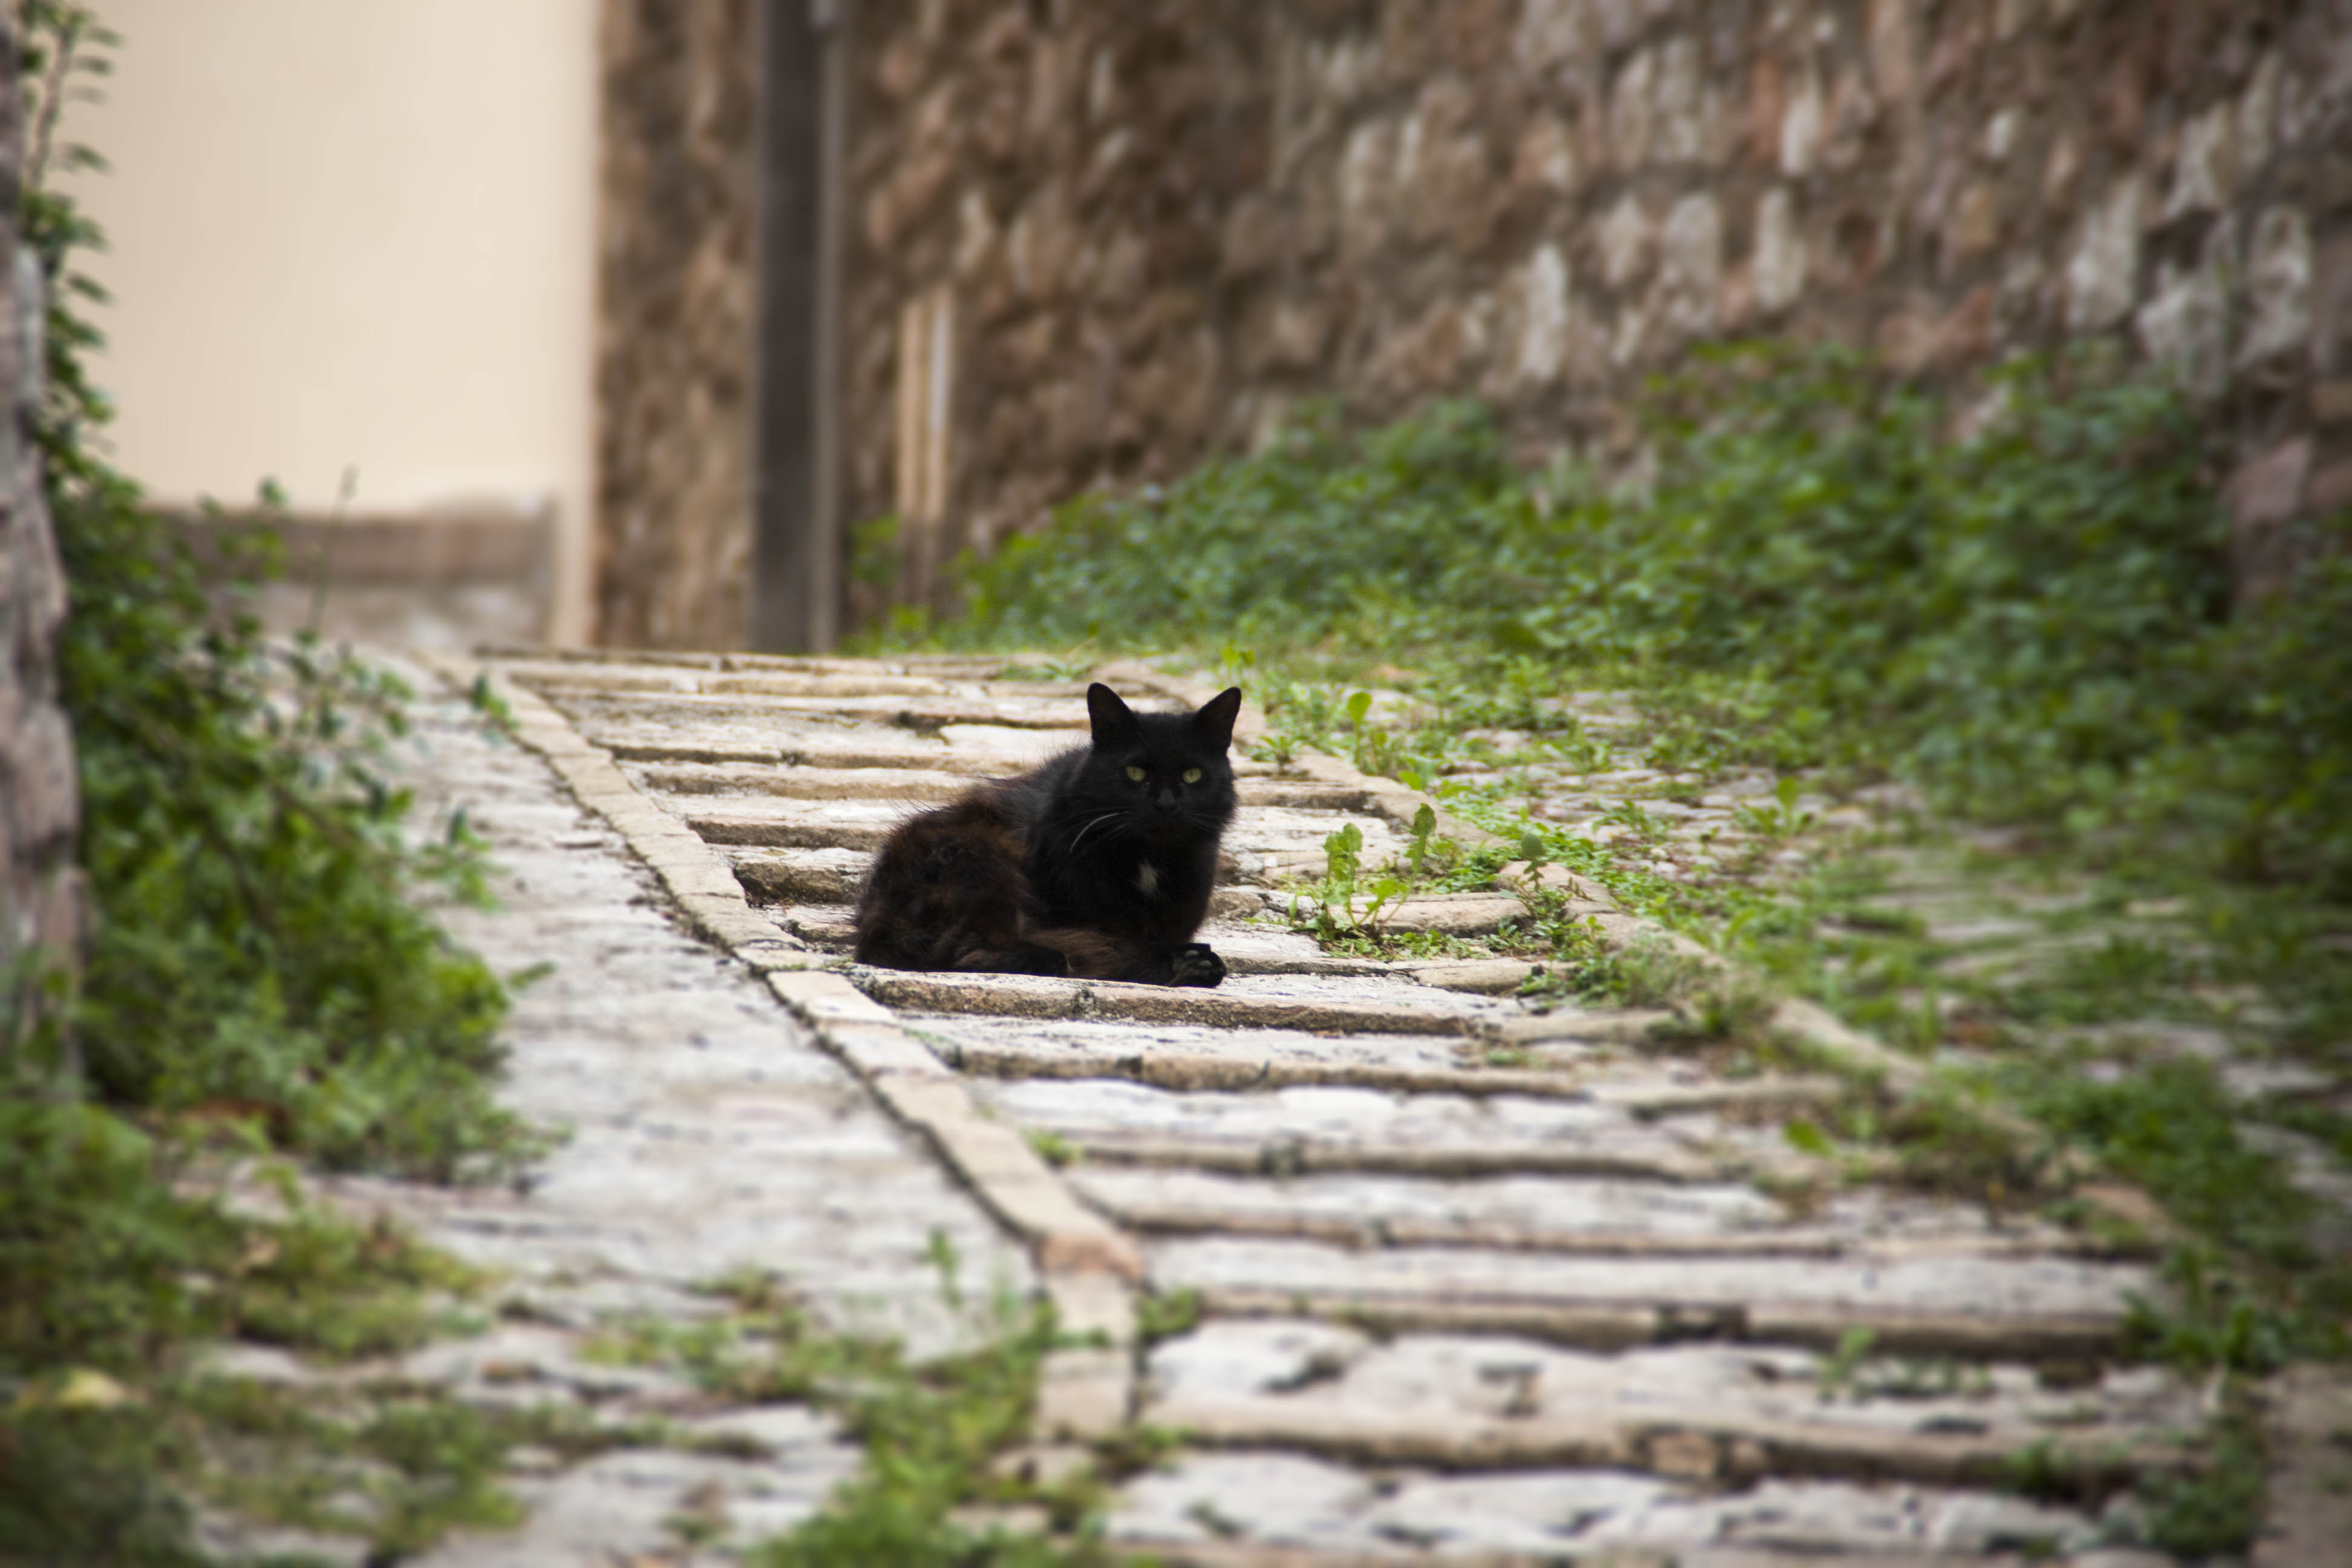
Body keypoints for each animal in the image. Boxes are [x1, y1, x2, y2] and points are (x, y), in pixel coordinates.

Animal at [851, 681, 1251, 987]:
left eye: (1192, 775)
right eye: (1135, 773)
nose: (1166, 804)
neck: (1148, 858)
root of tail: (879, 918)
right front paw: (1174, 964)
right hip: (982, 857)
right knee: (967, 954)